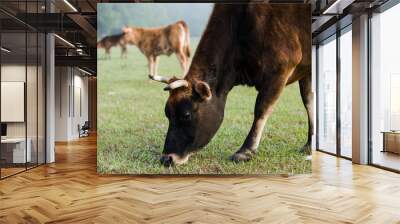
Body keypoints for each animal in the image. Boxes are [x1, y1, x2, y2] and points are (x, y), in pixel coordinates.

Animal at [150, 3, 312, 166]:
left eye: (186, 115)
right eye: (167, 114)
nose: (167, 158)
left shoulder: (281, 67)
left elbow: (262, 108)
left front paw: (246, 151)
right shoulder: (307, 69)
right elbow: (309, 101)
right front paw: (310, 144)